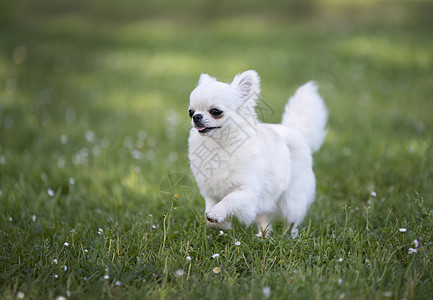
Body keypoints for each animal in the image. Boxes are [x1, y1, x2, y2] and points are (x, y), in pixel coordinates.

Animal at [187, 70, 326, 237]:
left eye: (215, 111)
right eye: (191, 112)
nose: (196, 117)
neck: (219, 145)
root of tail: (295, 131)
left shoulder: (247, 192)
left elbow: (229, 200)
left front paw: (217, 214)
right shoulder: (210, 192)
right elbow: (208, 214)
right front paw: (222, 224)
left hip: (292, 198)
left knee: (292, 221)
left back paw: (289, 237)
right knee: (265, 218)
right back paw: (264, 236)